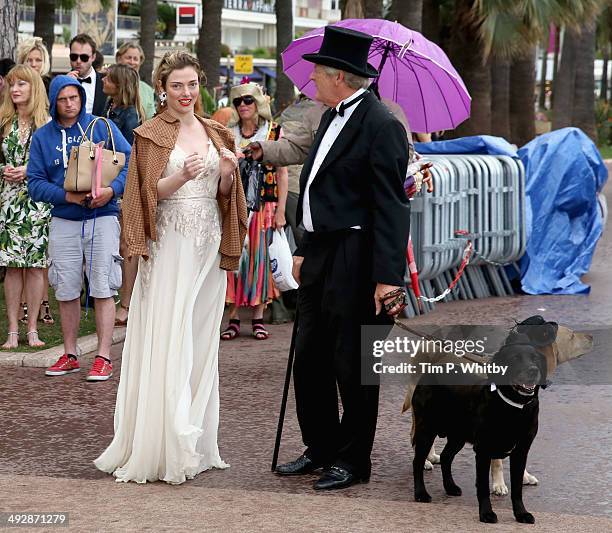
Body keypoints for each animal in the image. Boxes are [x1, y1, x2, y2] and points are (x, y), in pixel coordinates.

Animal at [412, 332, 548, 524]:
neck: (514, 407)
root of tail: (431, 371)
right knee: (417, 462)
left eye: (535, 358)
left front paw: (521, 514)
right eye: (515, 358)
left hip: (457, 437)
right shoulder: (484, 450)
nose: (533, 370)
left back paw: (450, 487)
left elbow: (517, 489)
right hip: (426, 430)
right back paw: (421, 494)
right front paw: (486, 514)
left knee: (446, 457)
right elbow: (483, 486)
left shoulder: (521, 451)